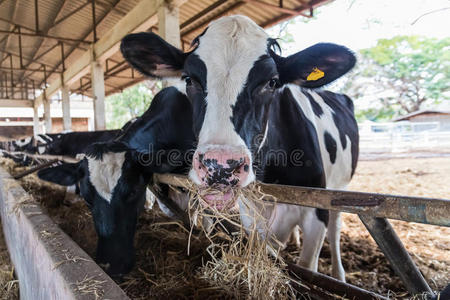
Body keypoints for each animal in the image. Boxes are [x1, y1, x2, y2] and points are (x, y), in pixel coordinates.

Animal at [120, 15, 358, 280]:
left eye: (272, 82)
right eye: (190, 79)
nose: (220, 166)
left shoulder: (316, 213)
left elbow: (308, 266)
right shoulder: (251, 214)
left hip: (340, 187)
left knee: (336, 227)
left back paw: (338, 274)